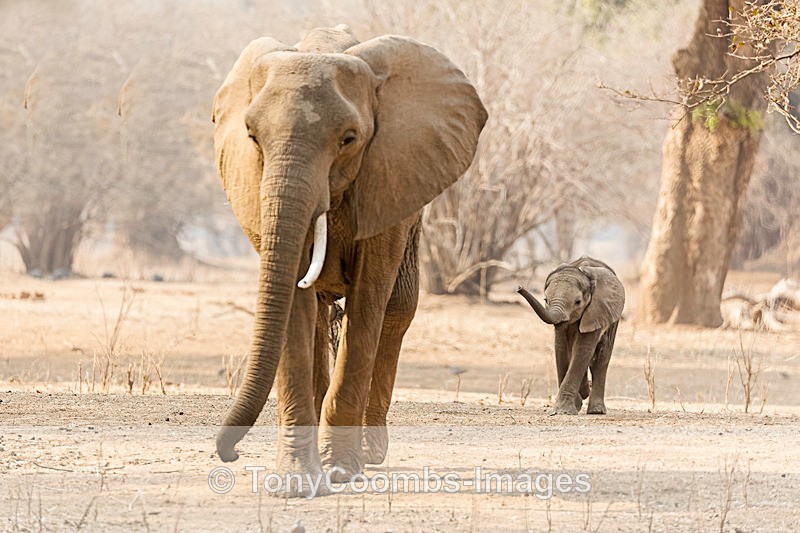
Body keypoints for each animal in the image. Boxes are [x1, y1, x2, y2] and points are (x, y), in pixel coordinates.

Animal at [212, 24, 487, 494]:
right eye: (252, 136)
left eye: (348, 139)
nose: (230, 454)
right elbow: (293, 304)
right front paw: (297, 483)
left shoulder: (389, 174)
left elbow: (368, 299)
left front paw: (340, 471)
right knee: (320, 315)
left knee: (397, 310)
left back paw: (371, 452)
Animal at [516, 256, 625, 415]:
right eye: (546, 301)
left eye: (578, 302)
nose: (519, 288)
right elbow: (561, 349)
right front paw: (574, 403)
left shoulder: (596, 310)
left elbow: (583, 348)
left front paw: (564, 410)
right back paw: (585, 393)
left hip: (613, 318)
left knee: (601, 358)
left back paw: (596, 410)